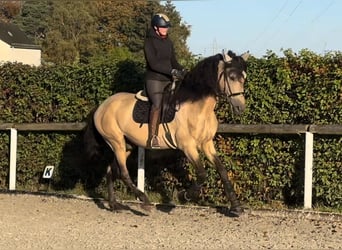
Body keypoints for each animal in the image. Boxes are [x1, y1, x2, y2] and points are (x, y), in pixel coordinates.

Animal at [83, 49, 248, 216]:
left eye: (244, 77)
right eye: (232, 77)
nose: (240, 107)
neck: (197, 107)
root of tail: (101, 106)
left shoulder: (206, 144)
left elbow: (222, 170)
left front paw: (236, 207)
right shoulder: (188, 146)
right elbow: (202, 174)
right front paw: (184, 196)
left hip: (126, 145)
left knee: (111, 170)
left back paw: (114, 205)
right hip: (116, 142)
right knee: (123, 173)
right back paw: (145, 202)